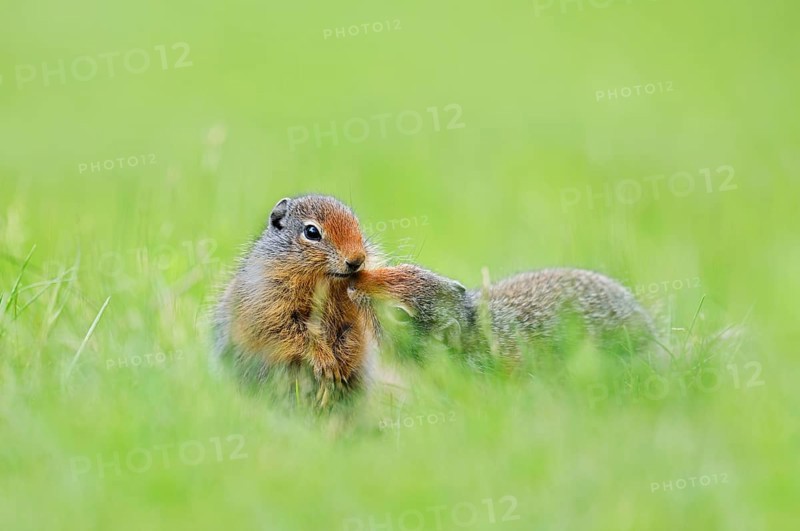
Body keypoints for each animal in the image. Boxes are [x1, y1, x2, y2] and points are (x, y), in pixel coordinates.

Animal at [212, 195, 384, 408]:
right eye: (311, 232)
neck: (325, 283)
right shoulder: (272, 309)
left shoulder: (353, 318)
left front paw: (341, 368)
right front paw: (325, 362)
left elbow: (352, 336)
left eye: (357, 225)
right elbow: (297, 335)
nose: (357, 260)